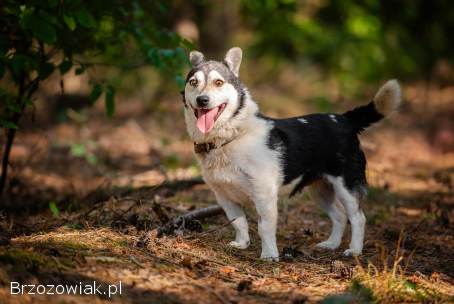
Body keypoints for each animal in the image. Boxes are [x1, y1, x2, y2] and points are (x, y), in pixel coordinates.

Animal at [181, 47, 400, 262]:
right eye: (193, 83)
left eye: (218, 82)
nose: (202, 100)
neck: (232, 136)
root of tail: (345, 120)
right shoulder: (224, 196)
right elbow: (239, 222)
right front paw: (242, 244)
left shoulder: (264, 194)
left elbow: (264, 227)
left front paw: (269, 254)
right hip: (320, 190)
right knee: (339, 216)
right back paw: (331, 244)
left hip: (347, 186)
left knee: (357, 218)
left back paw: (354, 250)